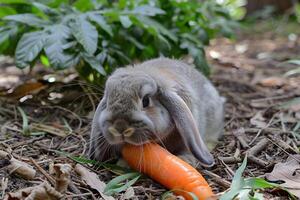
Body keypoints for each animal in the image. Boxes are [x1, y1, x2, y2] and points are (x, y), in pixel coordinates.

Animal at [88, 56, 224, 167]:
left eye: (146, 101)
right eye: (108, 102)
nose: (119, 127)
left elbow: (187, 148)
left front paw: (186, 160)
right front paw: (123, 163)